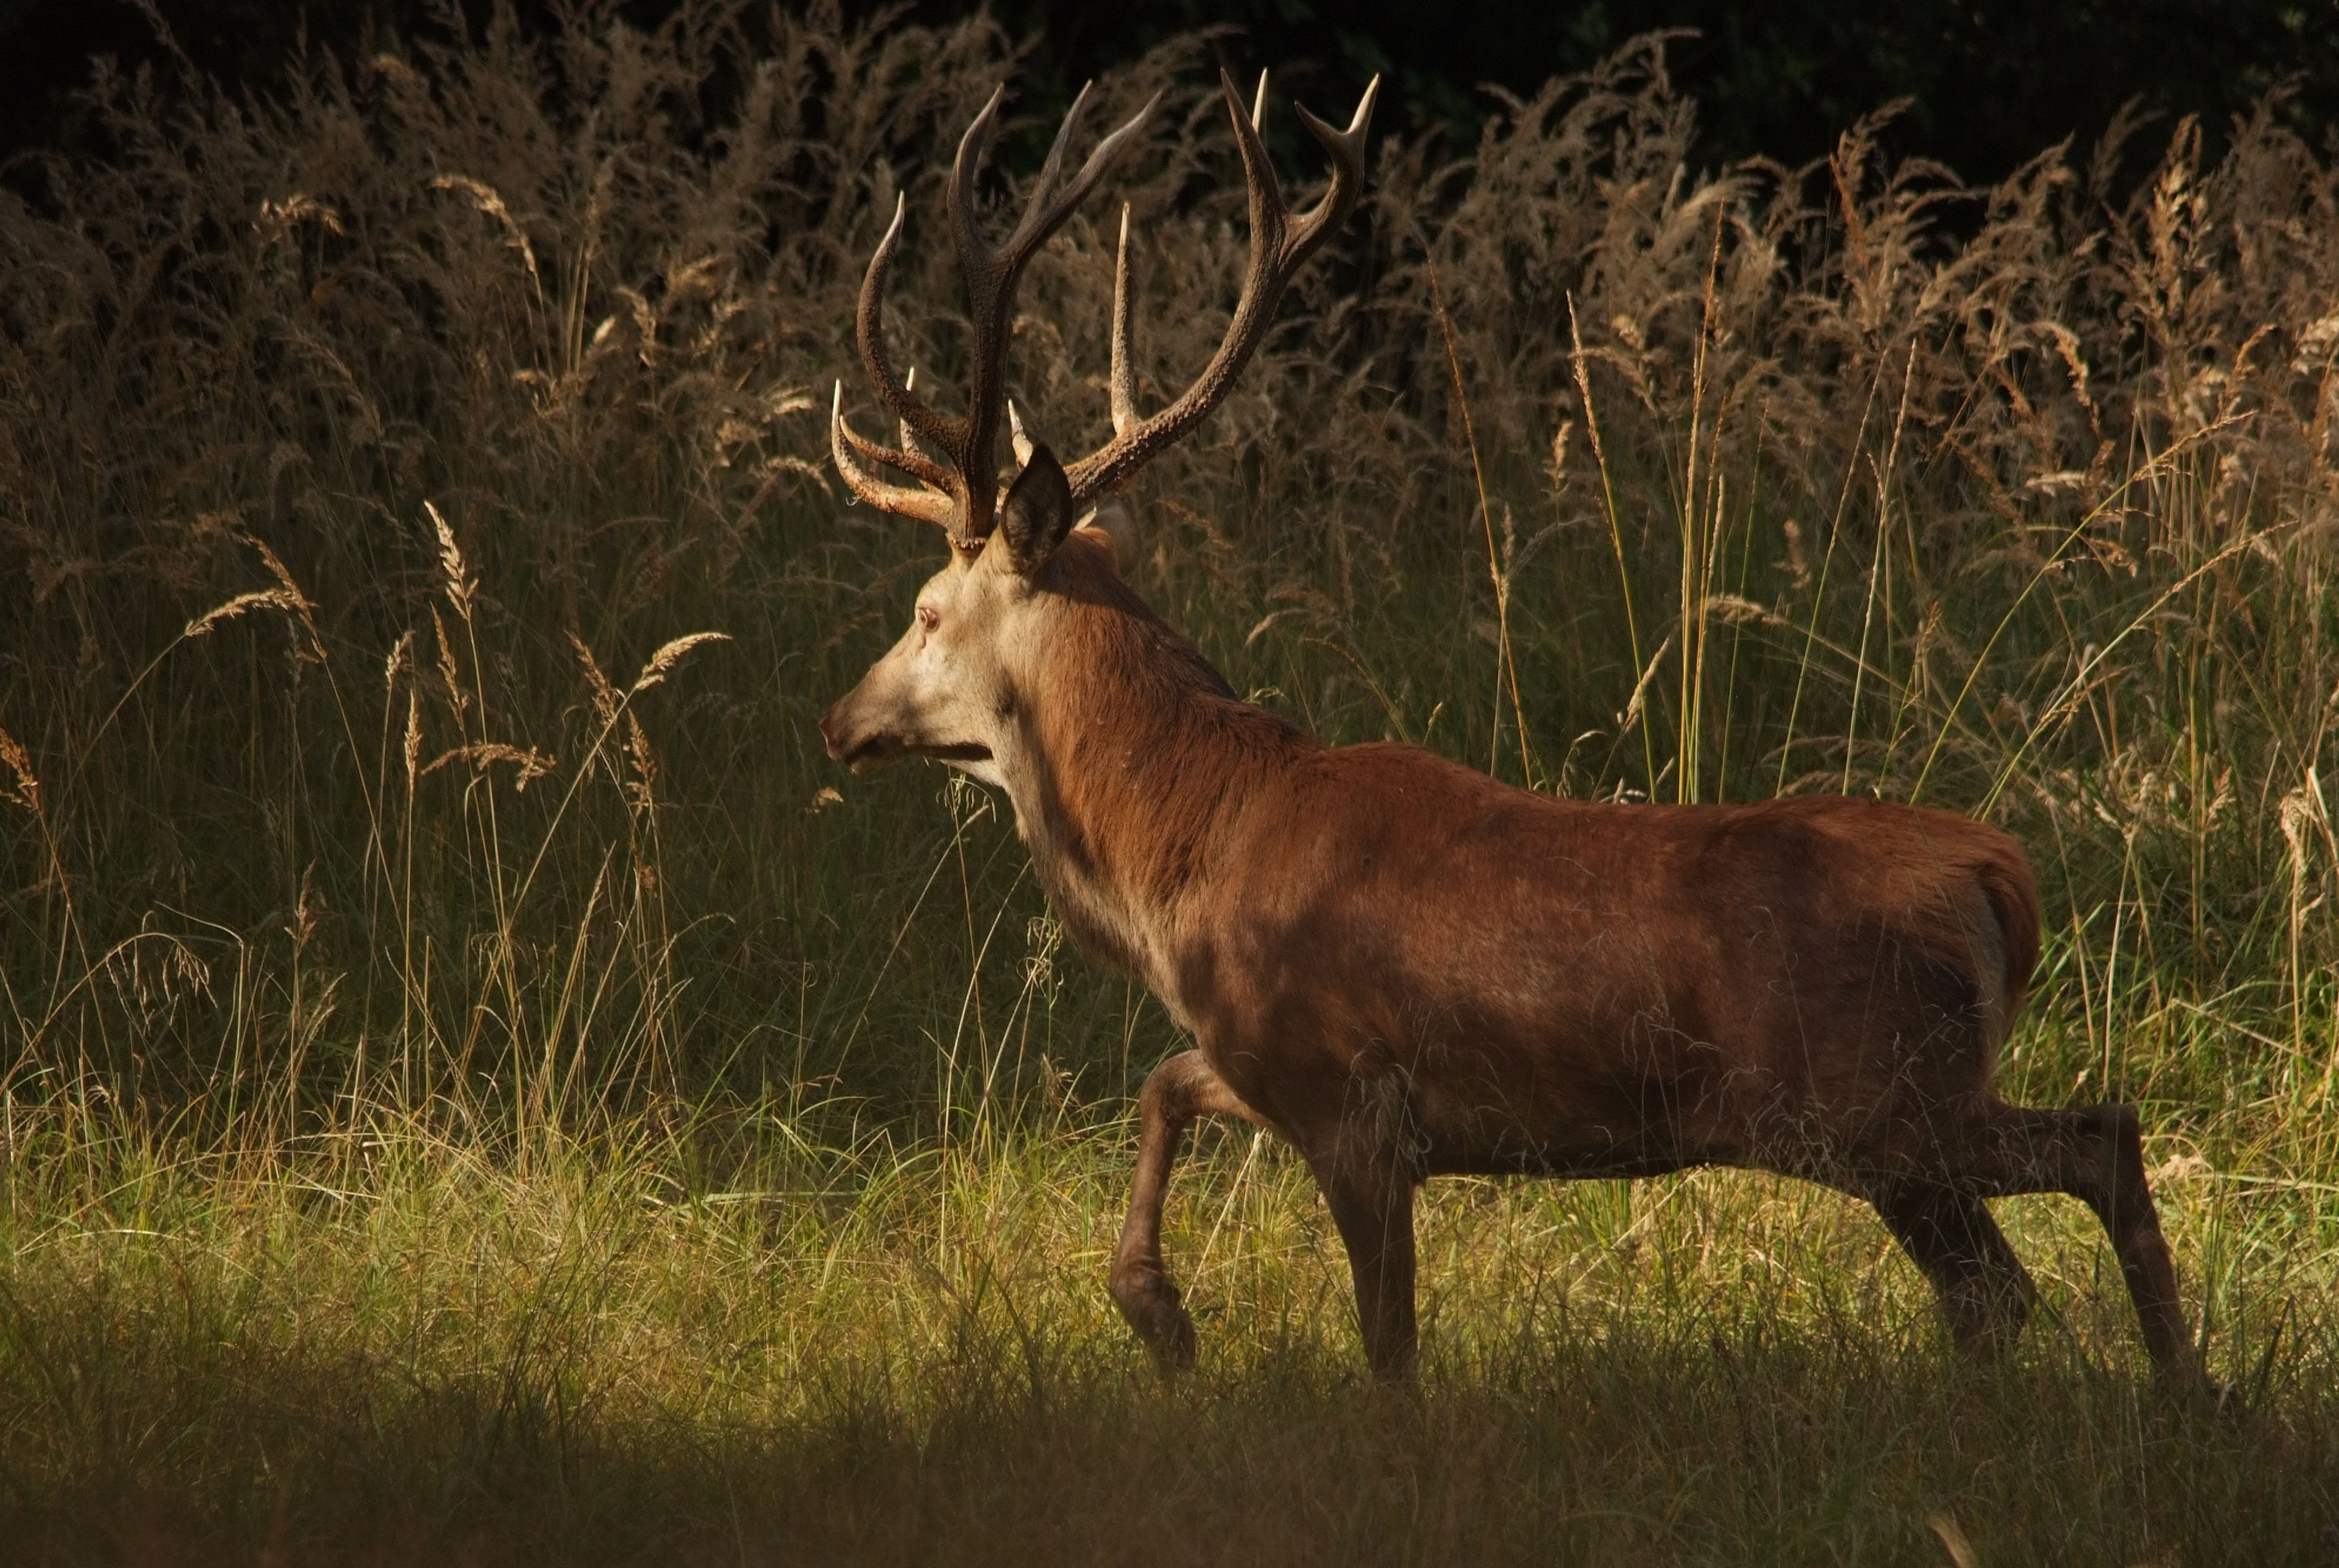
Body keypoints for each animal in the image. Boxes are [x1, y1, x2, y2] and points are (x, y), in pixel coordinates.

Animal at [814, 71, 2198, 1402]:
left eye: (927, 610)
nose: (838, 720)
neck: (1183, 861)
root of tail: (1998, 876)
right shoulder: (1269, 1063)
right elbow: (1163, 1084)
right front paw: (1157, 1314)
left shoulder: (1352, 1101)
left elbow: (1388, 1341)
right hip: (1904, 1107)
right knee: (2053, 1209)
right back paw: (2179, 1390)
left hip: (1878, 1102)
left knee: (2040, 1224)